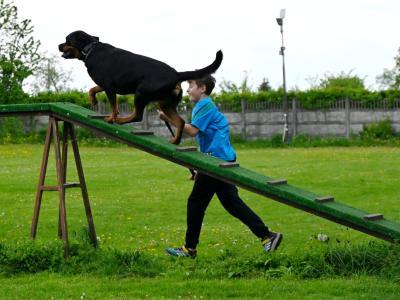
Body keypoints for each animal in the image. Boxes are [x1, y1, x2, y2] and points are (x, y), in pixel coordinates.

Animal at [58, 30, 223, 144]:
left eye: (67, 40)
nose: (58, 45)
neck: (90, 49)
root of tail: (176, 74)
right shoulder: (106, 85)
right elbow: (93, 89)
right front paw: (93, 100)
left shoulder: (110, 86)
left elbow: (113, 106)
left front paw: (111, 118)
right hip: (165, 103)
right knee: (180, 122)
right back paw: (175, 141)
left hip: (141, 93)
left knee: (138, 115)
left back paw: (120, 121)